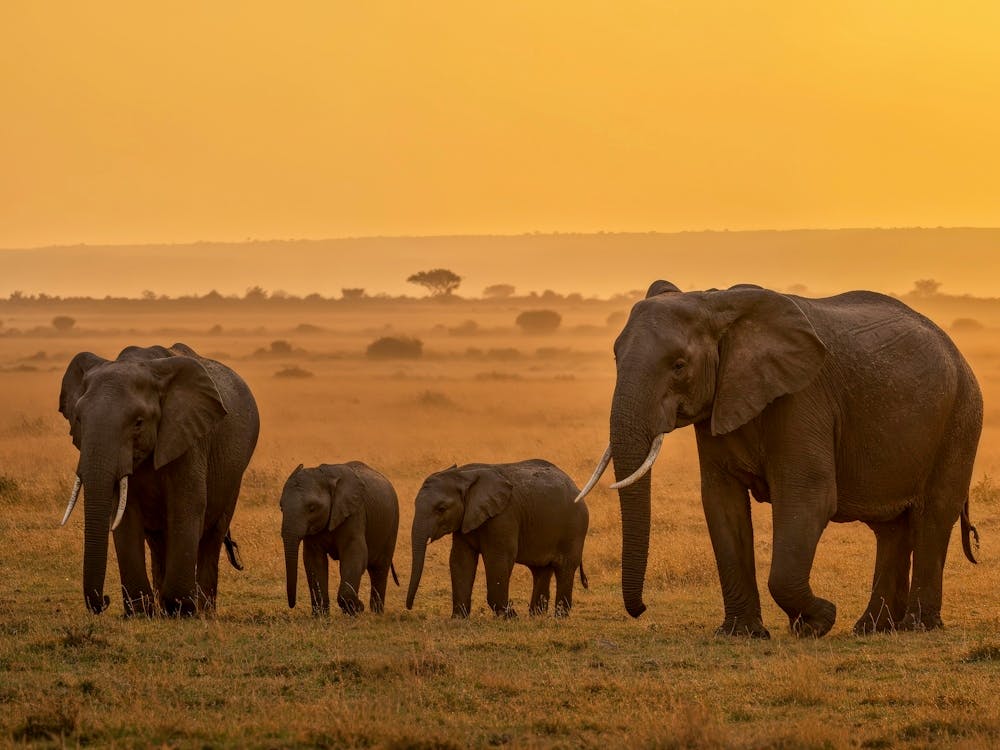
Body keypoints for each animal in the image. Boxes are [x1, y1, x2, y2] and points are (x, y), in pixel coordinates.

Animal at [59, 343, 259, 616]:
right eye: (78, 419)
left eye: (138, 423)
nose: (105, 600)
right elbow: (123, 514)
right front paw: (140, 613)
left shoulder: (188, 437)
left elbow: (187, 506)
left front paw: (182, 609)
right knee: (157, 540)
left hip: (234, 473)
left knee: (213, 535)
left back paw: (202, 611)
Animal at [280, 462, 400, 615]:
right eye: (281, 508)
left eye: (312, 508)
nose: (292, 604)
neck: (325, 475)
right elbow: (314, 560)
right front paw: (320, 616)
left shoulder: (354, 513)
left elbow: (354, 554)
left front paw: (356, 609)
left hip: (391, 524)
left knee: (379, 569)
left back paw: (376, 613)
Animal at [406, 460, 589, 617]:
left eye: (441, 509)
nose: (409, 606)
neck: (463, 476)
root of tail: (575, 485)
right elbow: (460, 560)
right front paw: (458, 618)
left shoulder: (502, 516)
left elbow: (498, 559)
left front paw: (510, 617)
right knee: (541, 570)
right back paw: (537, 616)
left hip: (575, 528)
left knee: (565, 568)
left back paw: (559, 617)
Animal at [577, 281, 982, 638]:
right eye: (615, 358)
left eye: (678, 365)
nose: (641, 609)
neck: (716, 304)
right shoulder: (720, 402)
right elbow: (722, 502)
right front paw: (741, 634)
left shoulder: (803, 397)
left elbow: (809, 496)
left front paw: (818, 621)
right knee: (891, 528)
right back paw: (874, 629)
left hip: (961, 417)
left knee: (932, 515)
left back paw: (917, 627)